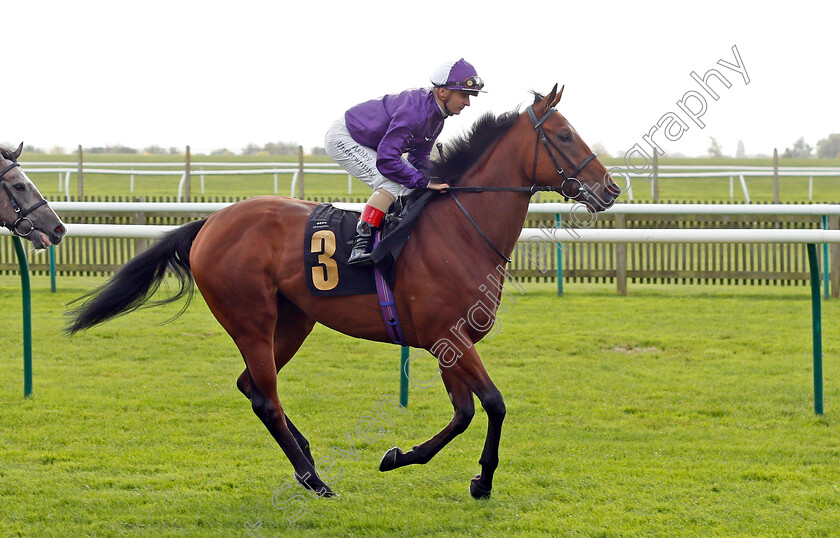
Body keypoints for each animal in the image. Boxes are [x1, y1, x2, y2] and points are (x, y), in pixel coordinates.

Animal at [67, 85, 616, 498]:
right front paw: (480, 480)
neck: (461, 230)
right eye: (564, 134)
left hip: (294, 320)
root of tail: (211, 222)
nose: (609, 189)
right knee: (266, 398)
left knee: (253, 388)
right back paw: (314, 479)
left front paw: (401, 457)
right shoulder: (450, 336)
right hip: (251, 319)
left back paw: (306, 460)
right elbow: (495, 404)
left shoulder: (446, 343)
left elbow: (463, 413)